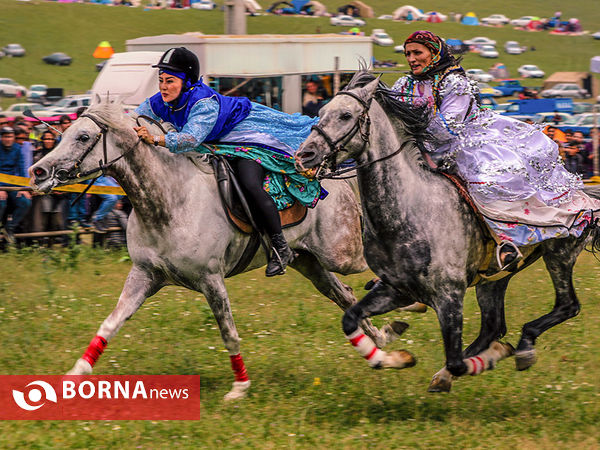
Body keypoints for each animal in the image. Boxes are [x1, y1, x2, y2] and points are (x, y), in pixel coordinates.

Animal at [29, 99, 408, 400]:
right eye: (64, 133)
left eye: (82, 137)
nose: (38, 171)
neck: (170, 201)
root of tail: (329, 176)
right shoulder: (144, 276)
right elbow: (109, 324)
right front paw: (75, 375)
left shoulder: (211, 280)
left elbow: (229, 334)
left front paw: (239, 387)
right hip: (310, 263)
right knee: (344, 295)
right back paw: (382, 343)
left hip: (342, 254)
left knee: (370, 273)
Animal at [296, 72, 600, 392]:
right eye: (321, 112)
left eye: (345, 115)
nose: (305, 154)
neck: (409, 211)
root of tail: (584, 193)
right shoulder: (396, 289)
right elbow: (350, 319)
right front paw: (397, 358)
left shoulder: (448, 295)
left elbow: (456, 359)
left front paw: (487, 358)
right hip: (494, 279)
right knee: (493, 326)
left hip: (559, 256)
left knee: (567, 306)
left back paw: (522, 348)